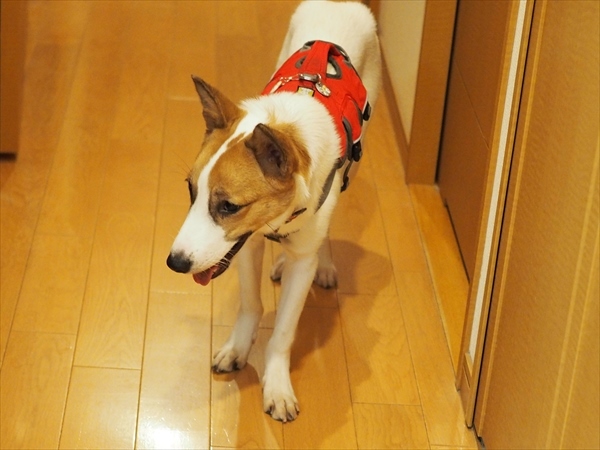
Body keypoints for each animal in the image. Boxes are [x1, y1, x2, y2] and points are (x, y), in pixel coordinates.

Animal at [166, 0, 381, 422]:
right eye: (190, 190)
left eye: (229, 206)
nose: (175, 263)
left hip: (355, 163)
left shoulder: (298, 254)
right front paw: (237, 349)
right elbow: (251, 304)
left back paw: (321, 263)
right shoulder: (246, 245)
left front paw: (277, 386)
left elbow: (283, 331)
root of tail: (341, 4)